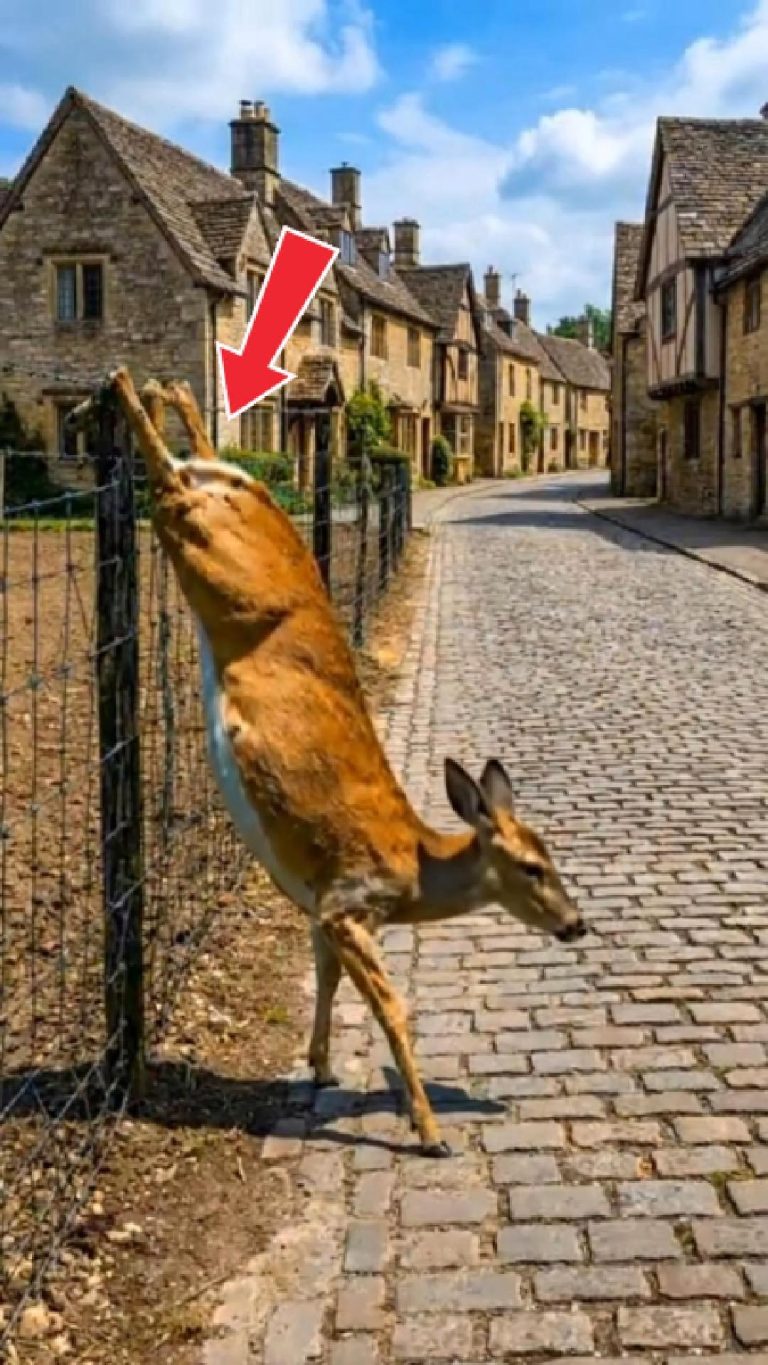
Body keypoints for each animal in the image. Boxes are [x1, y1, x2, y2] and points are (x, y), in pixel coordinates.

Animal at [80, 367, 585, 1157]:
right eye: (533, 866)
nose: (576, 923)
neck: (413, 869)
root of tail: (246, 488)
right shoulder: (350, 899)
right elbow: (394, 1008)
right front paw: (428, 1128)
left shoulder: (322, 910)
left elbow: (326, 984)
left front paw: (318, 1064)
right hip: (205, 545)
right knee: (167, 475)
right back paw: (125, 384)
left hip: (208, 518)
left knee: (196, 450)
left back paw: (163, 390)